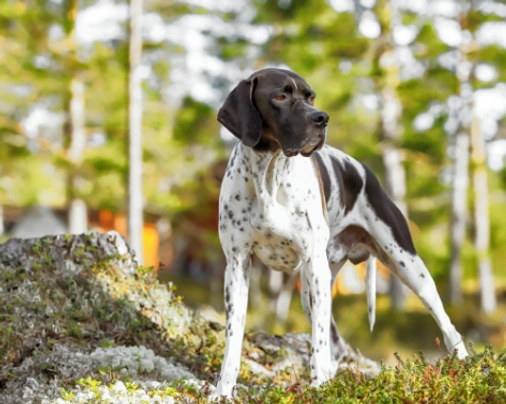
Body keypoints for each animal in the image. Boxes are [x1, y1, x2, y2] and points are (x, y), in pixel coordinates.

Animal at [211, 68, 468, 398]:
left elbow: (319, 341)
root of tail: (366, 171)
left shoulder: (313, 264)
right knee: (336, 341)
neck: (270, 174)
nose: (322, 118)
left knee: (448, 326)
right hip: (311, 287)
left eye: (311, 97)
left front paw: (318, 387)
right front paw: (223, 390)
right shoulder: (237, 265)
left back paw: (465, 368)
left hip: (407, 268)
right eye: (280, 96)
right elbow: (234, 338)